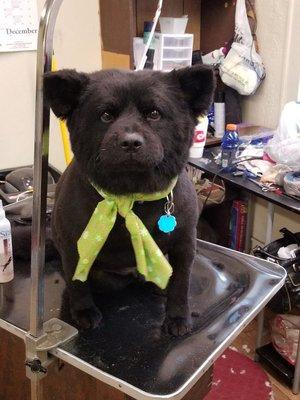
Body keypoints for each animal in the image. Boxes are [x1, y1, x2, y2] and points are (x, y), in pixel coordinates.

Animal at [44, 65, 213, 338]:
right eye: (105, 115)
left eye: (154, 113)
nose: (131, 142)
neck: (131, 198)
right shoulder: (72, 246)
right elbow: (77, 283)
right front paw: (82, 310)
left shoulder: (185, 245)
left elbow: (181, 285)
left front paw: (177, 316)